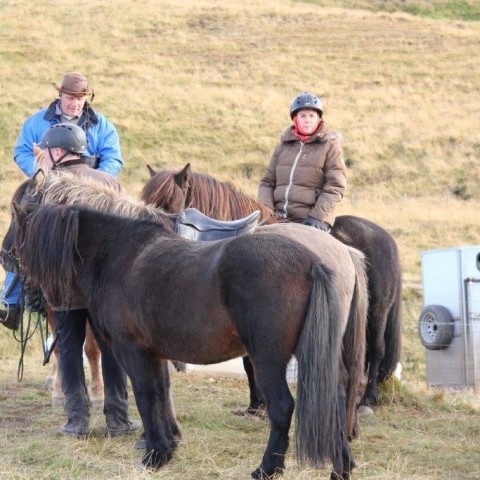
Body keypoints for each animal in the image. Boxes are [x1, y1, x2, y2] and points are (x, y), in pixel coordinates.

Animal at [2, 172, 368, 480]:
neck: (118, 255)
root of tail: (320, 259)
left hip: (270, 359)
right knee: (335, 401)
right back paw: (341, 466)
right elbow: (162, 392)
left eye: (18, 222)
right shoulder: (156, 352)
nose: (7, 258)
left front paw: (154, 455)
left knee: (282, 407)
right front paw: (169, 446)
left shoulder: (131, 350)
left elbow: (146, 395)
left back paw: (267, 468)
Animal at [141, 163, 404, 410]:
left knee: (376, 350)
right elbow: (248, 362)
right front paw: (256, 404)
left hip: (377, 311)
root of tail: (386, 239)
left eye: (168, 203)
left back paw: (367, 400)